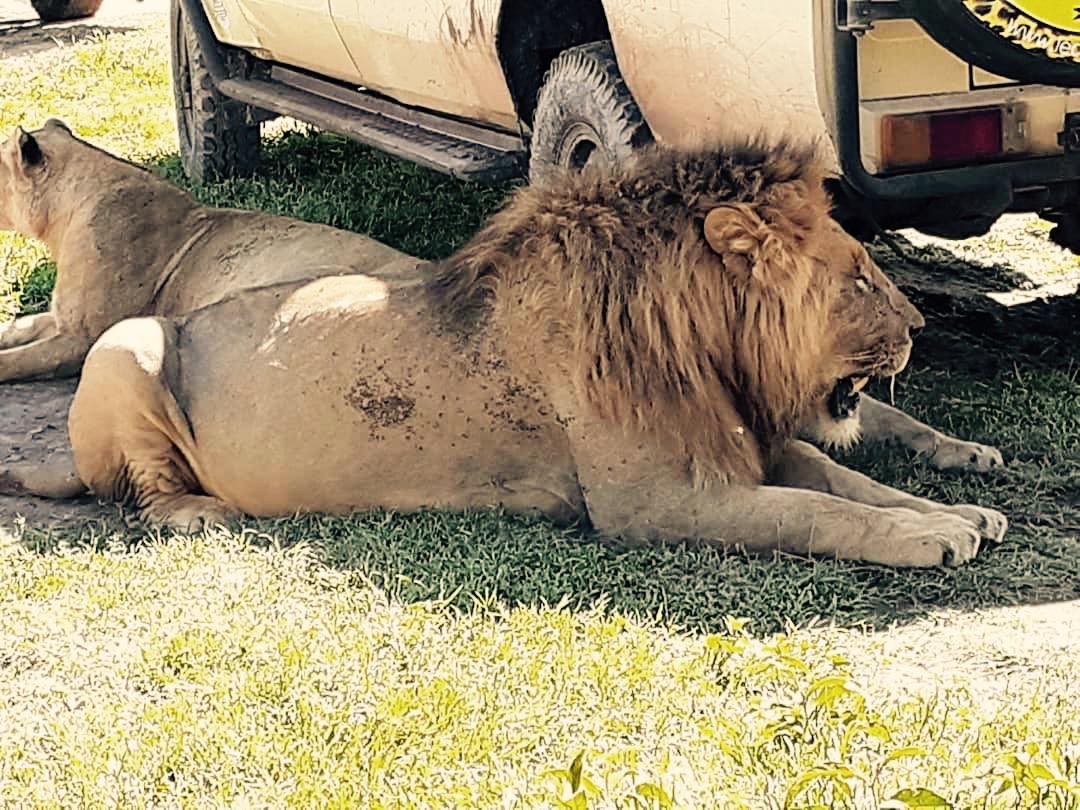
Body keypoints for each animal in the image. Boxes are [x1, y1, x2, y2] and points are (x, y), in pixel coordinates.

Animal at [0, 129, 1007, 566]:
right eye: (860, 278)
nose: (920, 330)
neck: (702, 340)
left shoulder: (750, 445)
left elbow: (848, 481)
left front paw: (959, 511)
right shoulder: (656, 502)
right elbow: (818, 513)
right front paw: (934, 537)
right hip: (125, 341)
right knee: (141, 497)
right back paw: (208, 515)